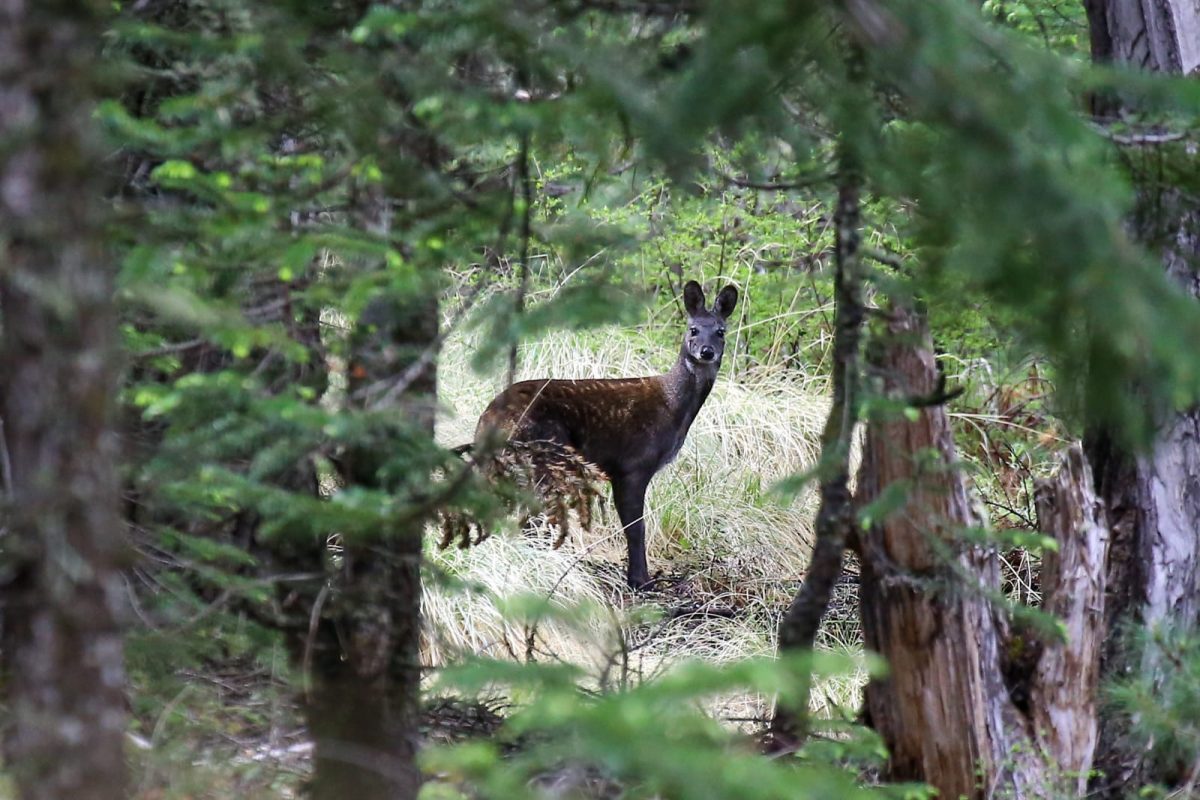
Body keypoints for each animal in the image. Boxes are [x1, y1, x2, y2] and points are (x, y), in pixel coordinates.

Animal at [473, 280, 739, 589]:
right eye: (693, 329)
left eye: (721, 331)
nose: (706, 351)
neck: (673, 407)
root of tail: (488, 419)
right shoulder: (633, 464)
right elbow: (636, 526)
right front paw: (640, 580)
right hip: (544, 456)